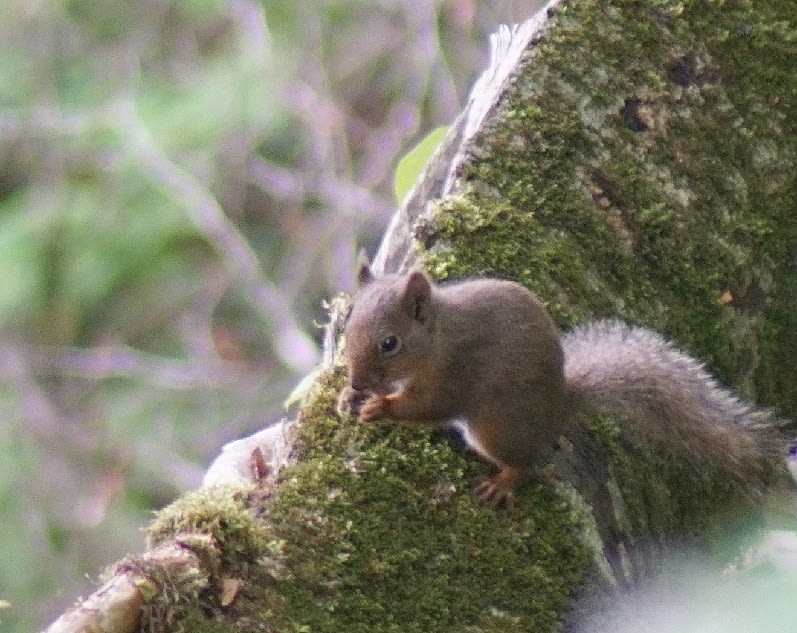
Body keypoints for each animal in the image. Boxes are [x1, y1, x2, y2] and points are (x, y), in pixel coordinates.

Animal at [334, 254, 784, 506]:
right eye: (347, 322)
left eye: (390, 343)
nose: (356, 382)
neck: (436, 338)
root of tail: (559, 406)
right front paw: (347, 398)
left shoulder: (453, 373)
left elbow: (427, 407)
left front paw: (379, 406)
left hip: (497, 429)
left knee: (526, 464)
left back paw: (504, 484)